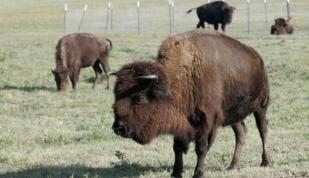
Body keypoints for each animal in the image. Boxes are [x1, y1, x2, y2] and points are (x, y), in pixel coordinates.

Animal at [109, 29, 268, 178]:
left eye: (138, 98)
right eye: (115, 95)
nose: (119, 128)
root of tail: (257, 58)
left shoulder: (207, 121)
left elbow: (201, 148)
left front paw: (198, 173)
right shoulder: (182, 122)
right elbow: (177, 147)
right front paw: (176, 172)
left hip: (261, 106)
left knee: (263, 131)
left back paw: (265, 162)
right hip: (233, 115)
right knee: (241, 132)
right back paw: (233, 166)